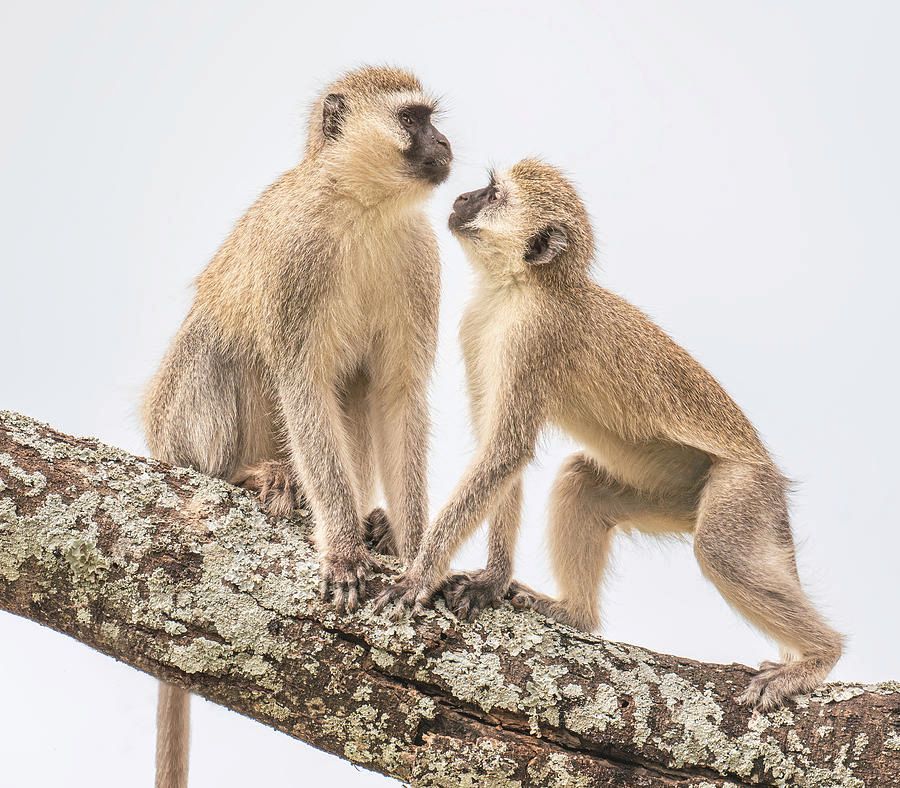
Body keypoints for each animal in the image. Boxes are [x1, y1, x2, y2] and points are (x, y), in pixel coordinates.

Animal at [142, 66, 451, 787]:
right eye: (414, 119)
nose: (446, 143)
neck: (365, 211)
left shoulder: (420, 259)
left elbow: (397, 396)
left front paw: (412, 553)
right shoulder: (295, 259)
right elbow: (303, 384)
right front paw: (341, 547)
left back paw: (372, 520)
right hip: (173, 428)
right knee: (220, 340)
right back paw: (253, 476)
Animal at [376, 158, 843, 712]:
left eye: (492, 193)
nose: (463, 197)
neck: (521, 287)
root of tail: (771, 476)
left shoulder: (534, 338)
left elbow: (505, 451)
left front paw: (419, 575)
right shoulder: (477, 327)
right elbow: (500, 454)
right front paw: (492, 578)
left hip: (743, 489)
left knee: (719, 549)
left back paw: (819, 656)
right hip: (676, 495)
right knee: (581, 482)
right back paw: (575, 613)